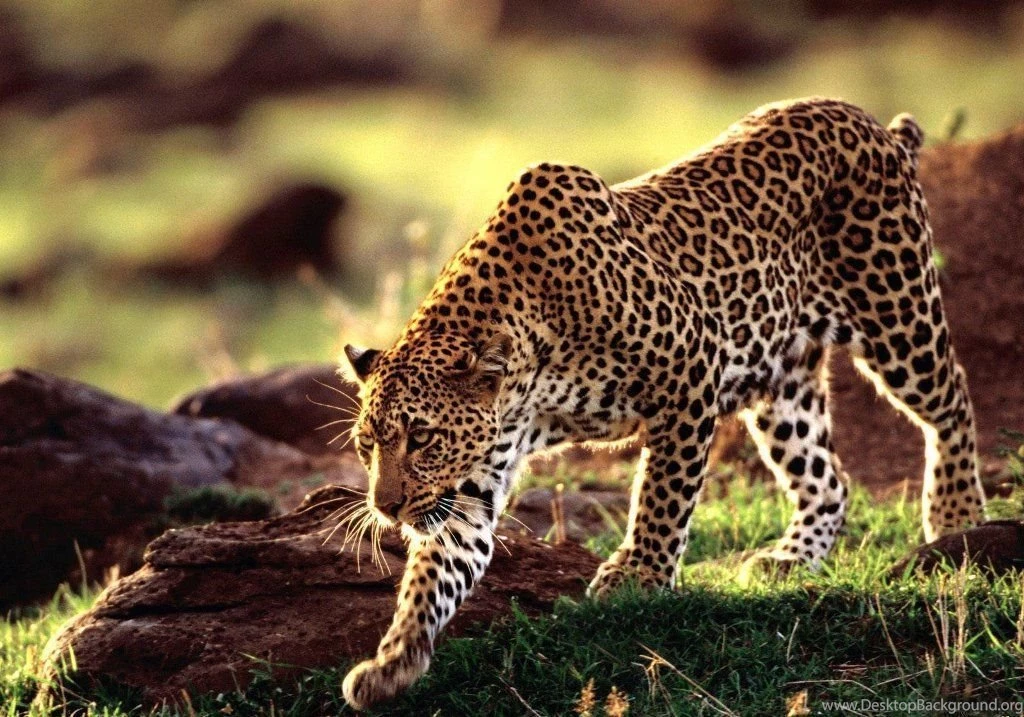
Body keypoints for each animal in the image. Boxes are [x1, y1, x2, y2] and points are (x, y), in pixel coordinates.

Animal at [338, 97, 985, 709]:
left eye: (422, 438)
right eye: (368, 445)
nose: (386, 508)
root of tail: (873, 124)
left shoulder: (691, 369)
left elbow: (662, 494)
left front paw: (639, 576)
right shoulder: (474, 479)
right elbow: (437, 572)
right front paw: (392, 662)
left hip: (897, 315)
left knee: (952, 398)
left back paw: (956, 518)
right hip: (783, 382)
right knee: (828, 478)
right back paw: (791, 559)